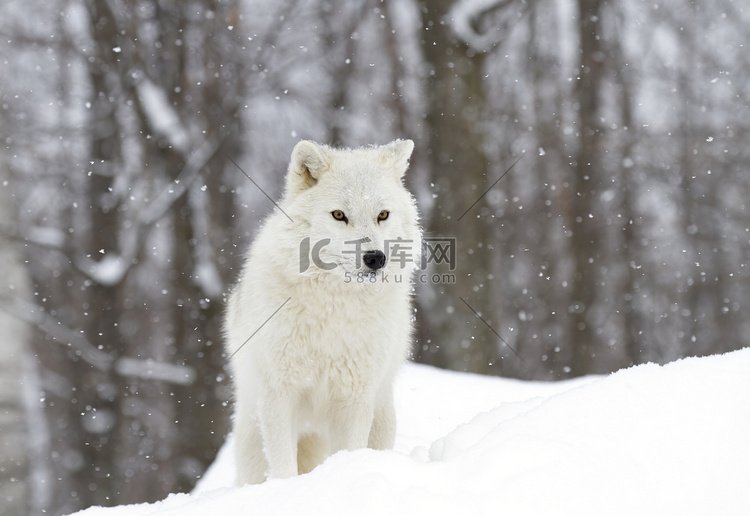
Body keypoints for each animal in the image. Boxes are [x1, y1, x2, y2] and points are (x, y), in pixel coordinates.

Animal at [223, 138, 424, 484]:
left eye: (383, 214)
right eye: (339, 215)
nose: (375, 258)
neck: (333, 307)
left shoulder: (355, 399)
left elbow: (351, 452)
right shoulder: (279, 395)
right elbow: (283, 468)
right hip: (252, 437)